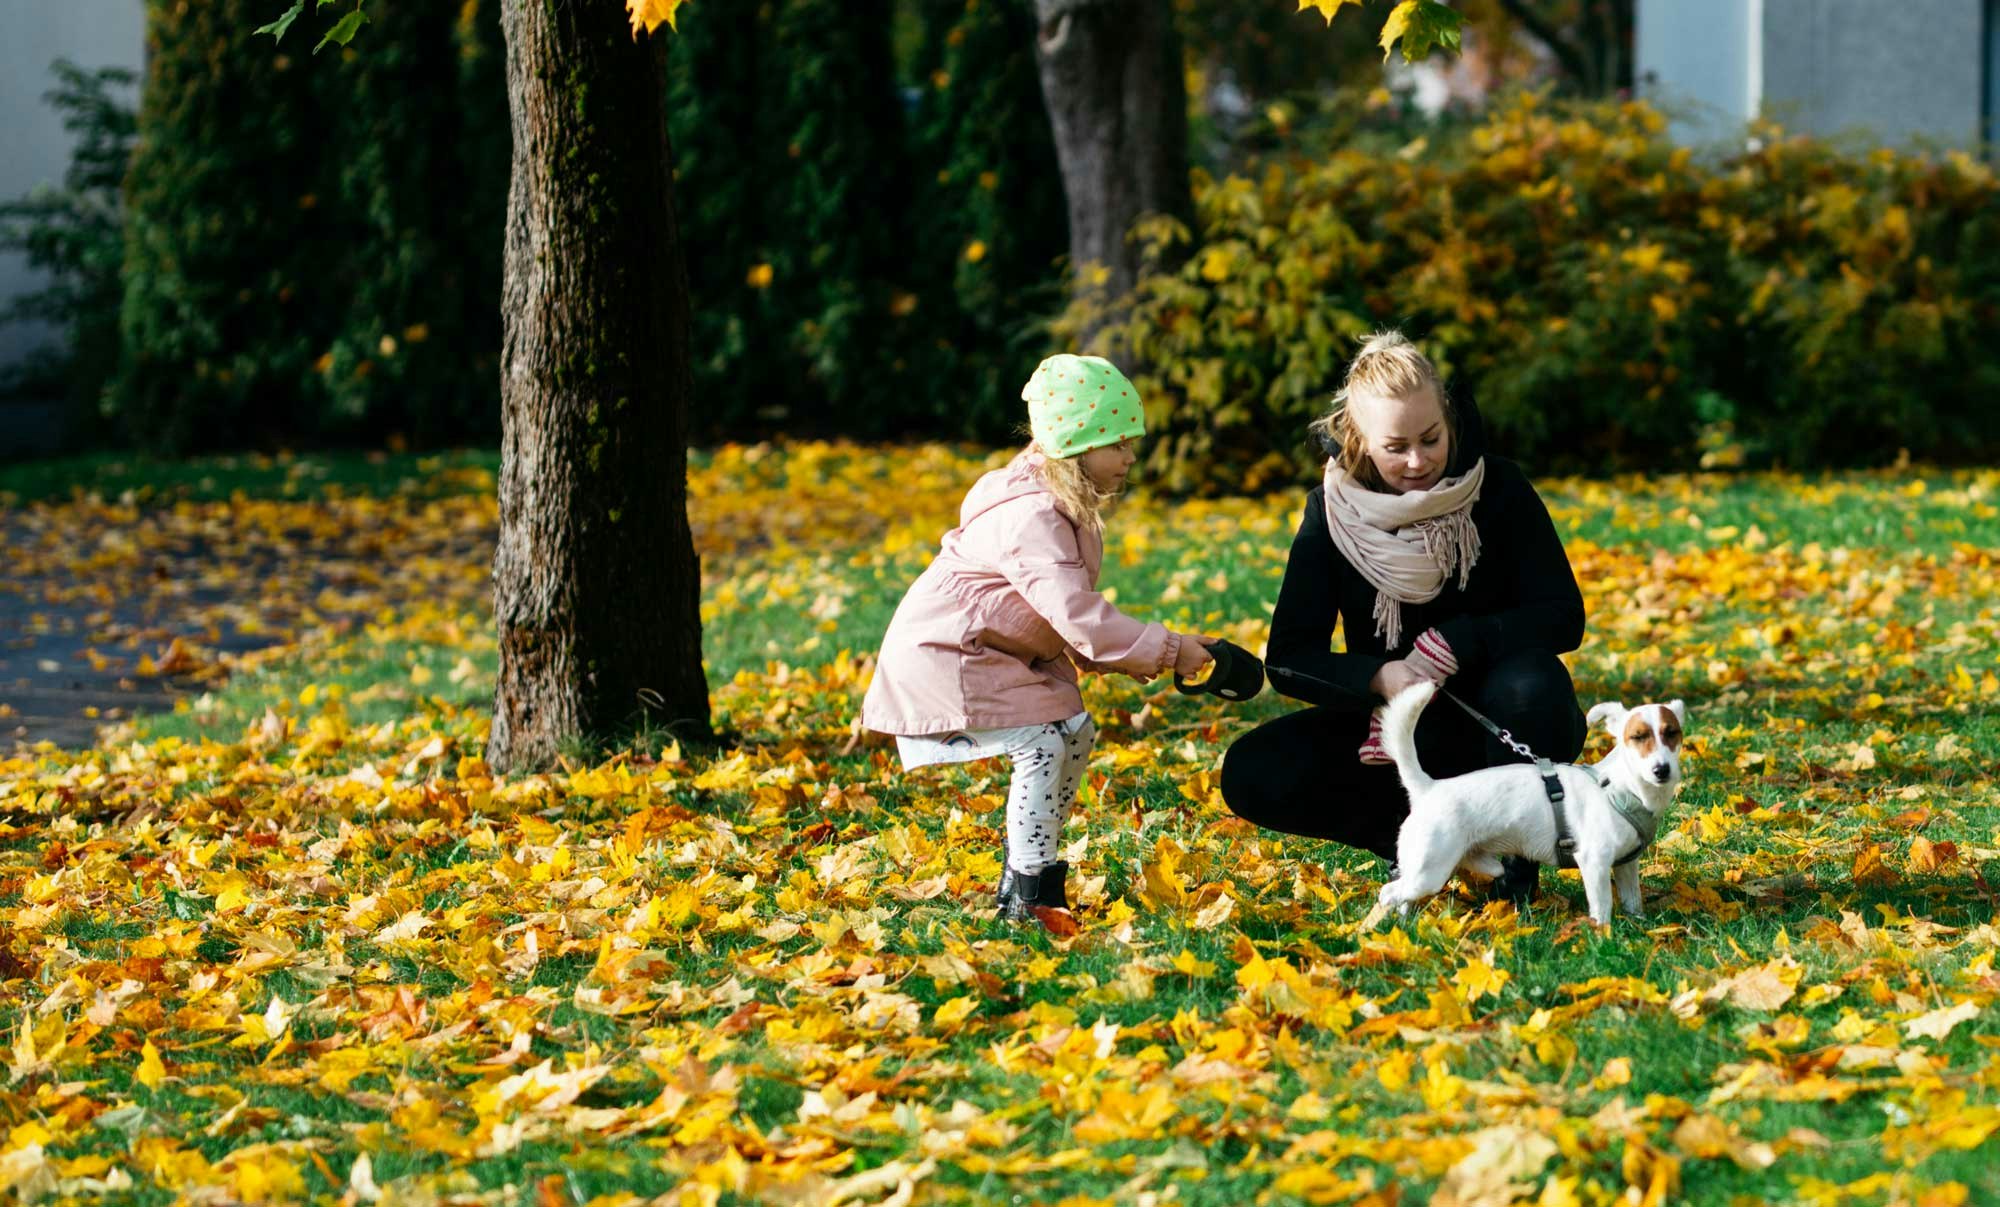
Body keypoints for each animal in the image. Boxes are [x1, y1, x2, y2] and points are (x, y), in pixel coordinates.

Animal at [1368, 683, 1680, 927]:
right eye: (1637, 737)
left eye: (1672, 733)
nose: (1662, 770)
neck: (1620, 787)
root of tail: (1428, 787)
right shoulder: (1594, 862)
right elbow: (1602, 907)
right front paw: (1602, 936)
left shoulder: (1626, 865)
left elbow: (1632, 901)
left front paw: (1638, 927)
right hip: (1430, 872)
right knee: (1388, 893)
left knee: (1404, 898)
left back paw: (1405, 926)